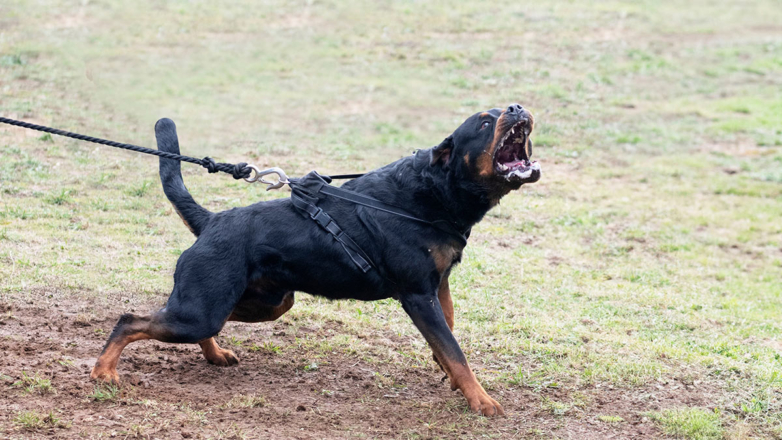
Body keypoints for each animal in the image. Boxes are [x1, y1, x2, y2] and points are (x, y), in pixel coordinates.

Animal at [92, 104, 544, 416]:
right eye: (484, 123)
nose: (517, 107)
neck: (433, 192)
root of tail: (212, 220)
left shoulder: (439, 283)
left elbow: (449, 334)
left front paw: (451, 379)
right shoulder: (418, 294)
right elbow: (455, 350)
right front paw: (482, 402)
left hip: (263, 302)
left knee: (194, 322)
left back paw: (215, 354)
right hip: (205, 309)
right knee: (130, 319)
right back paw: (103, 372)